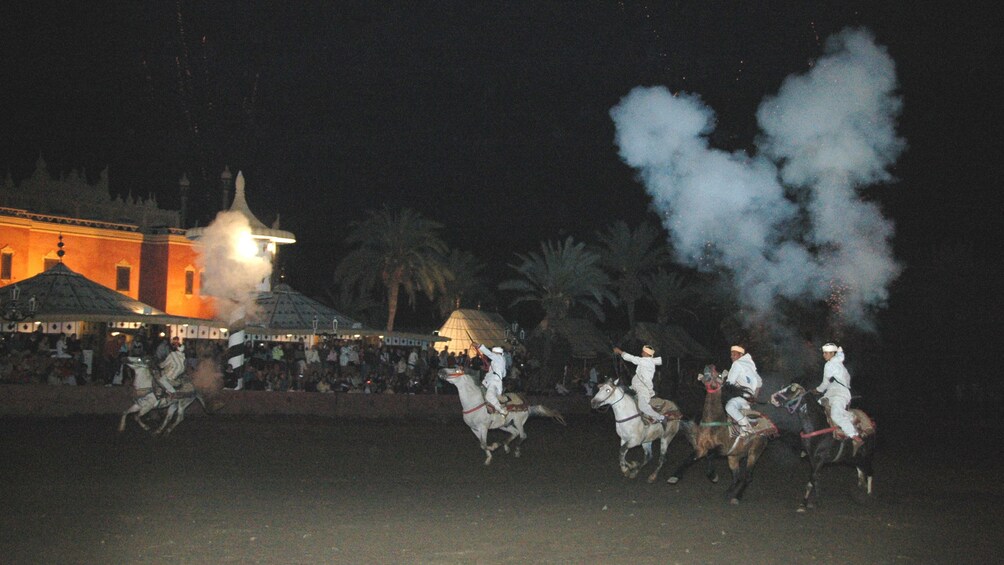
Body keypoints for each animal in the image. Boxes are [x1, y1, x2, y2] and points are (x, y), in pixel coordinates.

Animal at [437, 367, 566, 463]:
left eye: (456, 370)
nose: (441, 371)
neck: (474, 403)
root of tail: (526, 405)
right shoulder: (474, 429)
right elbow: (482, 444)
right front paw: (489, 457)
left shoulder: (483, 427)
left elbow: (483, 444)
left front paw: (494, 447)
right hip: (504, 425)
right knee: (515, 433)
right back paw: (506, 447)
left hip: (518, 422)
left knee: (523, 435)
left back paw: (516, 451)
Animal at [666, 367, 775, 503]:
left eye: (718, 375)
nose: (708, 368)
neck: (713, 424)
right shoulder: (701, 448)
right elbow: (689, 459)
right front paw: (675, 476)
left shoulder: (723, 449)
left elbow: (710, 455)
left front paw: (713, 476)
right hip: (734, 457)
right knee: (736, 476)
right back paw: (727, 492)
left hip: (754, 454)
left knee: (747, 477)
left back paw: (736, 497)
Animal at [771, 385, 875, 513]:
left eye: (792, 390)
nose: (774, 398)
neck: (818, 427)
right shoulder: (812, 459)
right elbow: (813, 479)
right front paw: (807, 503)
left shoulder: (820, 459)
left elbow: (813, 478)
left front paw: (814, 502)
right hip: (854, 458)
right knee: (860, 472)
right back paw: (860, 491)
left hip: (866, 456)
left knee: (869, 472)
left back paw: (868, 495)